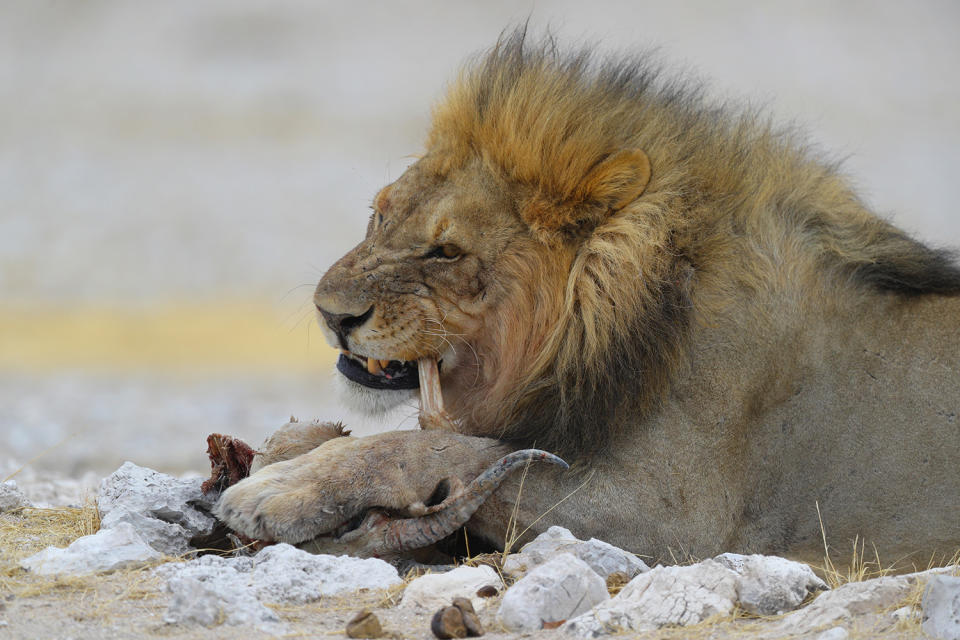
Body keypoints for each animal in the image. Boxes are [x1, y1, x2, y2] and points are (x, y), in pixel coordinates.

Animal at [218, 32, 960, 568]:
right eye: (379, 215)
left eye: (446, 252)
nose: (330, 312)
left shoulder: (677, 514)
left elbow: (444, 448)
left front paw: (280, 490)